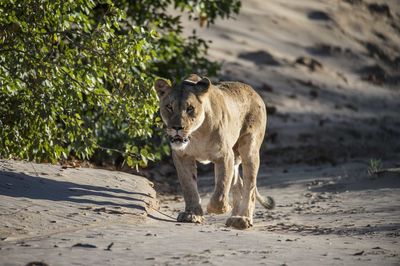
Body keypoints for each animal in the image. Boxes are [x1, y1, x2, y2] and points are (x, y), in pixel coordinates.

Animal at [155, 73, 274, 229]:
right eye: (169, 107)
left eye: (190, 108)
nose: (177, 128)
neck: (196, 134)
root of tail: (253, 90)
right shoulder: (182, 156)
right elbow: (189, 187)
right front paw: (191, 214)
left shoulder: (225, 156)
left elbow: (221, 189)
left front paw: (220, 208)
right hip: (236, 157)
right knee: (238, 184)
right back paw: (234, 217)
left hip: (249, 149)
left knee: (250, 187)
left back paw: (242, 219)